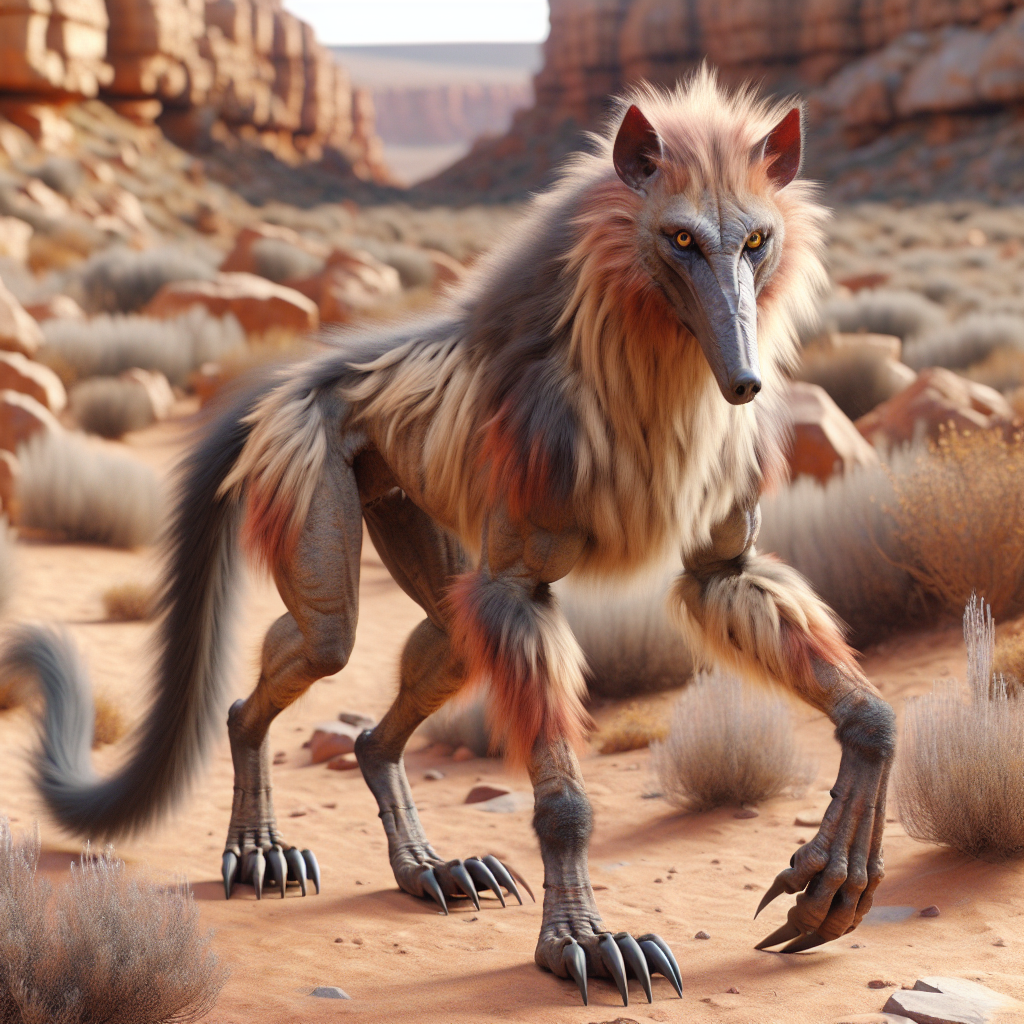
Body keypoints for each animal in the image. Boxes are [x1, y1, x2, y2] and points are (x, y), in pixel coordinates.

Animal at [6, 69, 895, 1008]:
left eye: (757, 240)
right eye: (680, 238)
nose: (747, 379)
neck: (656, 368)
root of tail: (303, 372)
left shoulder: (721, 569)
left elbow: (868, 713)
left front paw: (838, 878)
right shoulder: (517, 587)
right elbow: (566, 804)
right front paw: (583, 943)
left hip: (427, 549)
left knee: (381, 724)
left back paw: (428, 868)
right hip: (328, 522)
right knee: (285, 676)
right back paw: (259, 850)